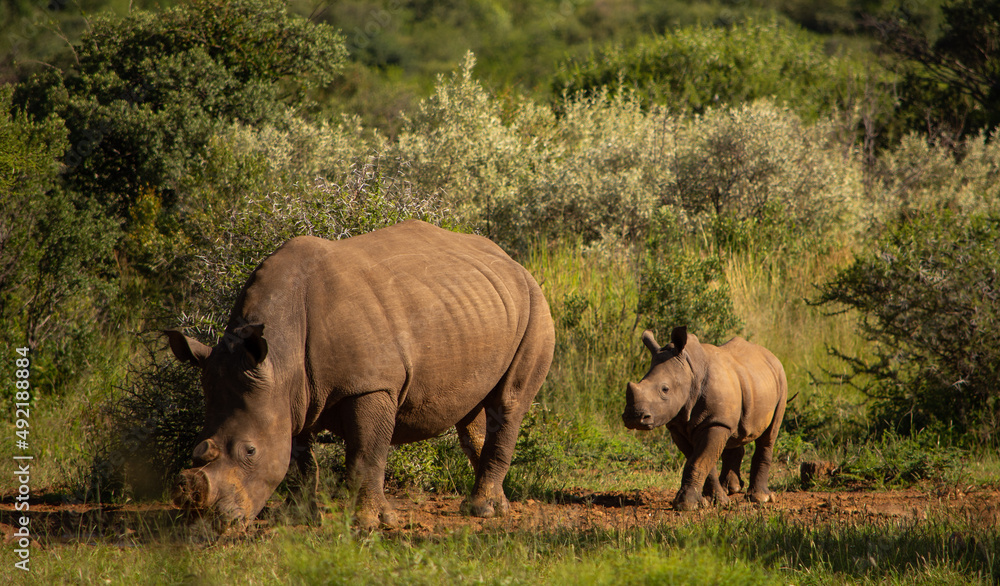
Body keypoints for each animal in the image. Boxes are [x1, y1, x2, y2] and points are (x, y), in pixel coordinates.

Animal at [166, 220, 555, 530]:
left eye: (250, 451)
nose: (210, 522)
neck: (280, 356)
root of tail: (514, 261)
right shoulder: (291, 395)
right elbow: (299, 460)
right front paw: (301, 518)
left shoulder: (370, 386)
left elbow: (366, 454)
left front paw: (372, 523)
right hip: (476, 309)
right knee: (472, 413)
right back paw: (496, 505)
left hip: (536, 306)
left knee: (508, 402)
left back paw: (483, 511)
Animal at [622, 326, 787, 510]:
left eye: (665, 389)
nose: (634, 417)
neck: (690, 372)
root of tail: (770, 354)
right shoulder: (679, 426)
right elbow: (703, 461)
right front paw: (716, 501)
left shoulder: (715, 422)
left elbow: (698, 461)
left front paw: (685, 505)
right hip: (746, 383)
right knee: (733, 434)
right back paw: (731, 489)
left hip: (781, 379)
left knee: (769, 435)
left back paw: (760, 498)